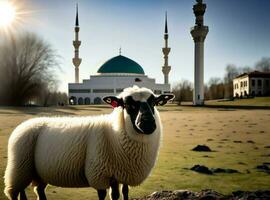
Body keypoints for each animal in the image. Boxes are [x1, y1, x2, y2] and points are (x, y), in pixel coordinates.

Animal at [4, 86, 175, 200]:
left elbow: (123, 193)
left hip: (38, 171)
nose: (148, 123)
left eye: (154, 103)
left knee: (38, 191)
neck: (113, 132)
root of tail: (26, 123)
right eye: (127, 105)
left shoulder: (122, 172)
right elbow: (104, 195)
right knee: (16, 192)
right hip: (20, 168)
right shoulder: (98, 173)